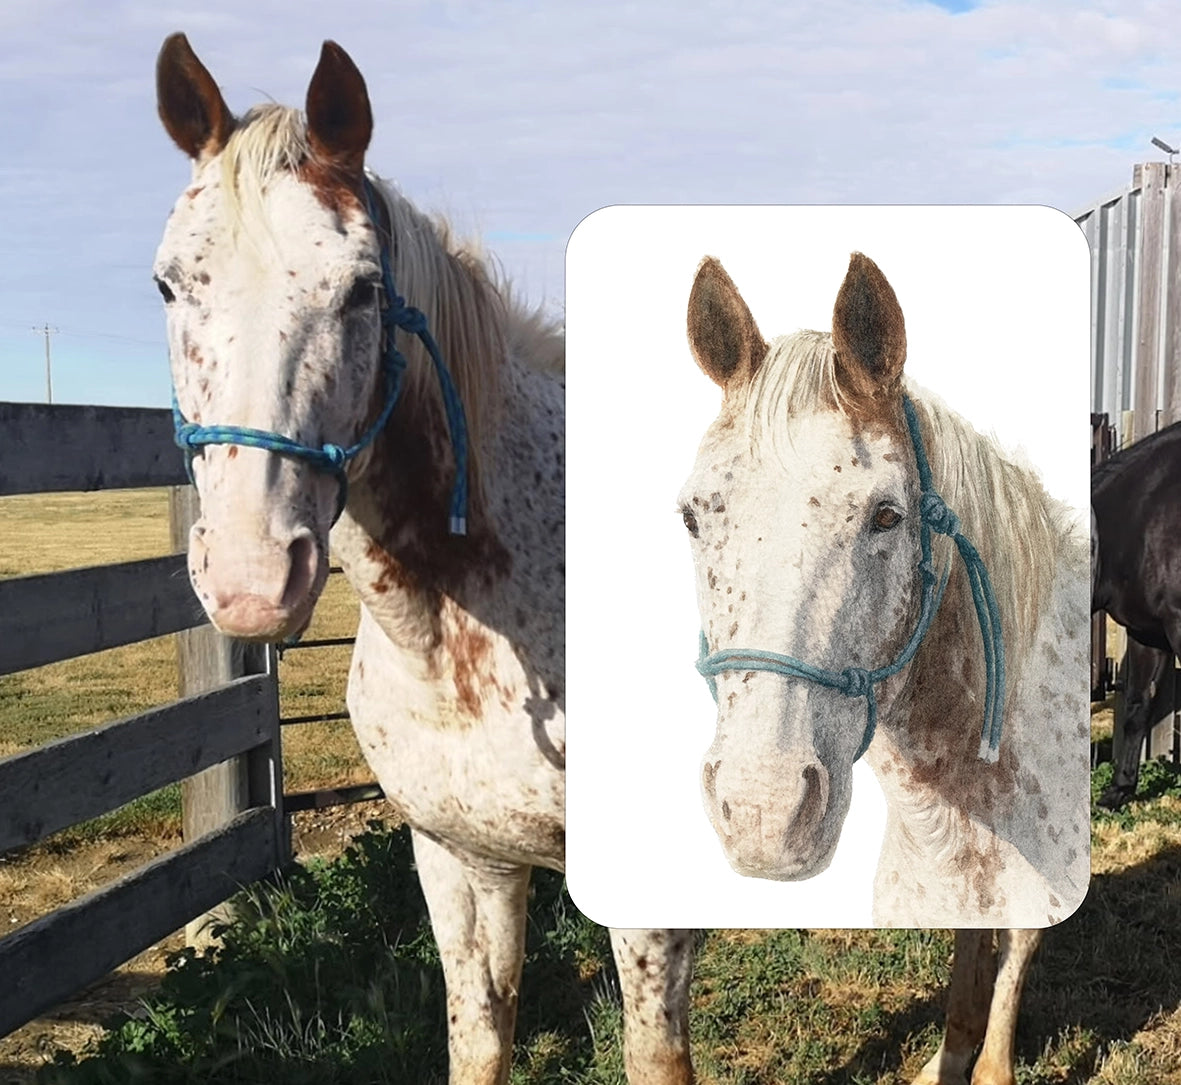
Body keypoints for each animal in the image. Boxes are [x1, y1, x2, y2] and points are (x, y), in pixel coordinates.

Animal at [154, 34, 694, 1085]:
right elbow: (479, 1034)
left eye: (361, 287)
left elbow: (655, 1055)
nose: (249, 577)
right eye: (169, 284)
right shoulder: (460, 858)